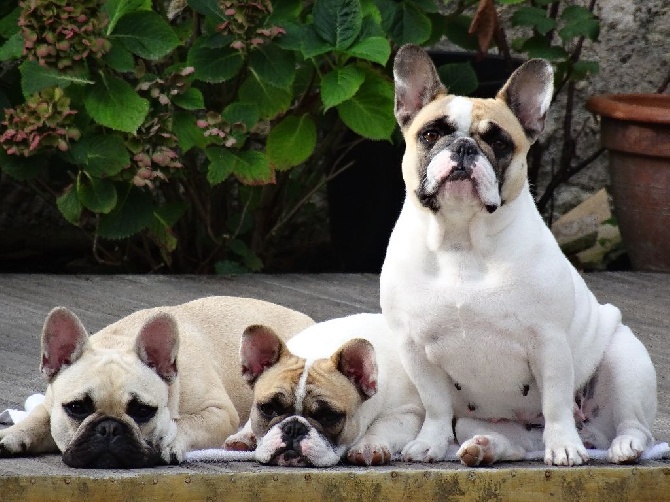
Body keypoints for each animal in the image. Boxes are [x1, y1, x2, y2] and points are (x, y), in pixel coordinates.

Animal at [0, 296, 316, 468]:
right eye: (77, 407)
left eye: (143, 411)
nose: (109, 428)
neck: (120, 342)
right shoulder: (51, 403)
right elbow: (37, 417)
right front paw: (11, 434)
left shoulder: (219, 413)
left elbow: (184, 423)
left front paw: (171, 441)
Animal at [226, 314, 426, 466]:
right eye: (268, 408)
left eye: (329, 416)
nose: (294, 429)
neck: (318, 350)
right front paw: (244, 435)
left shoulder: (407, 414)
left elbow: (382, 426)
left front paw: (368, 446)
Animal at [380, 43, 660, 466]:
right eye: (430, 134)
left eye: (499, 143)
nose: (464, 147)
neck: (462, 241)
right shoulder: (414, 347)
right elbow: (436, 405)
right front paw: (430, 442)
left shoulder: (549, 342)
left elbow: (556, 403)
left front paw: (563, 447)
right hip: (481, 421)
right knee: (516, 443)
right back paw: (484, 447)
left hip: (625, 360)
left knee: (632, 424)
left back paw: (620, 446)